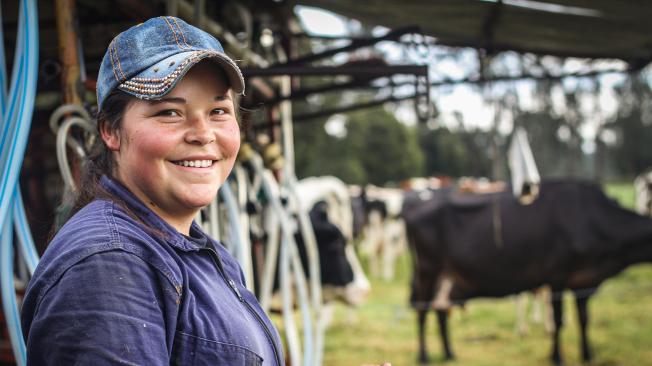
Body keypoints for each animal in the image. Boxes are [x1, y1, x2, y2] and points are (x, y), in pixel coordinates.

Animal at [402, 181, 652, 366]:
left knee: (441, 309)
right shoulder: (557, 277)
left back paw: (449, 353)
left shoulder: (584, 281)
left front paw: (588, 355)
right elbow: (558, 321)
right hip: (427, 269)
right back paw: (424, 356)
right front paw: (557, 357)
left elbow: (584, 319)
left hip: (447, 276)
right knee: (423, 310)